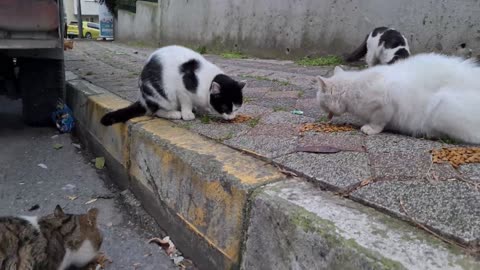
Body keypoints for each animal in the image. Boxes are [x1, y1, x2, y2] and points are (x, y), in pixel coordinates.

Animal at [99, 45, 246, 125]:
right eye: (225, 107)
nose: (232, 117)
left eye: (237, 108)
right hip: (162, 95)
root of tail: (143, 98)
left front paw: (202, 110)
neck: (207, 80)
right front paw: (187, 114)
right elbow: (186, 102)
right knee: (156, 111)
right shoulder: (182, 90)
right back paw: (174, 114)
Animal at [316, 53, 480, 146]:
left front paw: (370, 129)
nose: (326, 115)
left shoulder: (385, 104)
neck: (352, 88)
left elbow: (378, 121)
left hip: (442, 106)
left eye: (322, 105)